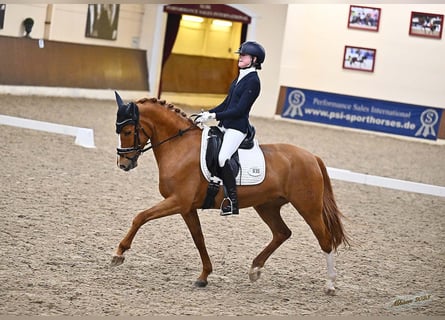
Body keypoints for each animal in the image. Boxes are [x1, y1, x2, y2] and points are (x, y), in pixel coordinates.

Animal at [110, 91, 346, 294]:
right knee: (282, 233)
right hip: (267, 206)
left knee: (325, 240)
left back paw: (330, 285)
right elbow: (199, 238)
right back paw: (255, 269)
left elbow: (141, 217)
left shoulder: (178, 201)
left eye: (128, 132)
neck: (179, 146)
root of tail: (312, 157)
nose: (123, 164)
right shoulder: (187, 208)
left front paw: (119, 253)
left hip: (308, 207)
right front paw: (204, 276)